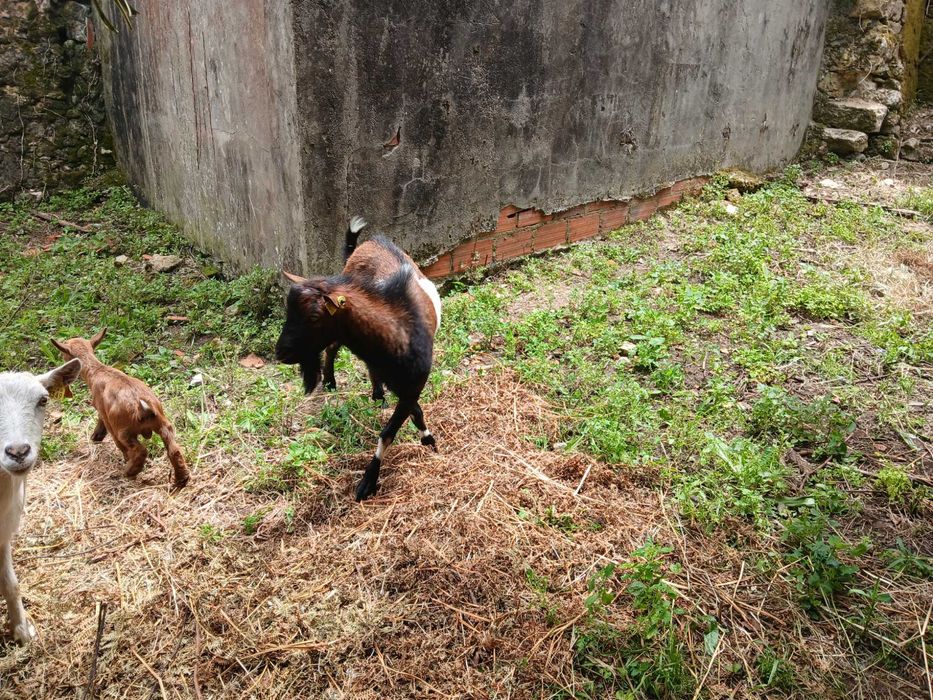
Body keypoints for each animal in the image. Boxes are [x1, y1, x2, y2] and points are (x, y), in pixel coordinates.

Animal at [51, 329, 190, 487]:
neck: (98, 370)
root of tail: (142, 407)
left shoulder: (108, 418)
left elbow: (117, 442)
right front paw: (96, 437)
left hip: (125, 431)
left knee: (140, 450)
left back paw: (130, 470)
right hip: (163, 424)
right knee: (174, 449)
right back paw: (181, 478)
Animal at [275, 216, 442, 501]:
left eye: (314, 317)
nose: (280, 353)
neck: (399, 331)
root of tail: (369, 242)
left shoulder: (412, 385)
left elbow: (396, 426)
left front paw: (428, 441)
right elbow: (402, 421)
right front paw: (368, 481)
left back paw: (377, 395)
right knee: (333, 349)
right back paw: (333, 383)